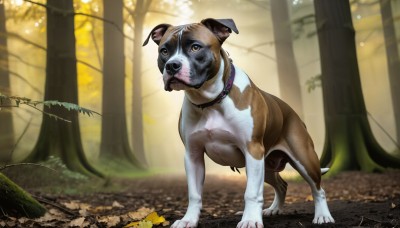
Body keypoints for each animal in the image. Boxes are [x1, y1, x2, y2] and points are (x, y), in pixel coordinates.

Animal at [144, 18, 334, 228]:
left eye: (195, 47)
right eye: (164, 51)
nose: (172, 65)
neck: (211, 101)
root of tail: (293, 112)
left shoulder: (252, 150)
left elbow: (251, 193)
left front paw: (250, 219)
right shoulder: (193, 155)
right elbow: (194, 194)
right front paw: (188, 220)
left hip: (302, 159)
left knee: (318, 188)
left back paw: (323, 216)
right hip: (266, 165)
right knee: (282, 184)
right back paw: (274, 209)